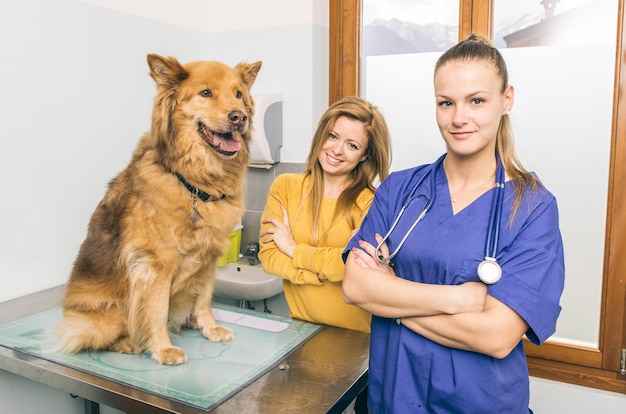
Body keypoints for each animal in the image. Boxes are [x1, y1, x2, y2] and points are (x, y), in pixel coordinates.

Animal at [56, 53, 260, 364]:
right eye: (205, 93)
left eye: (238, 94)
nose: (239, 118)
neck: (196, 182)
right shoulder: (156, 265)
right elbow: (157, 310)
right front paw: (163, 348)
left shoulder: (209, 258)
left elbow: (204, 299)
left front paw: (209, 327)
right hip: (103, 317)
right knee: (93, 338)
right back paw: (131, 343)